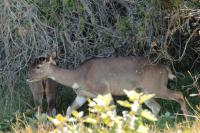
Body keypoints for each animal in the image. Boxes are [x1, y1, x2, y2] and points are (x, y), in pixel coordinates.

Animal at [26, 55, 188, 118]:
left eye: (39, 66)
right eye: (31, 66)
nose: (27, 77)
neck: (79, 76)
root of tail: (166, 69)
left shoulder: (104, 90)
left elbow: (112, 112)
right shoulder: (82, 95)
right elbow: (69, 109)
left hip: (156, 87)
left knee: (179, 94)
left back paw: (187, 118)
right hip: (143, 92)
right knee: (155, 107)